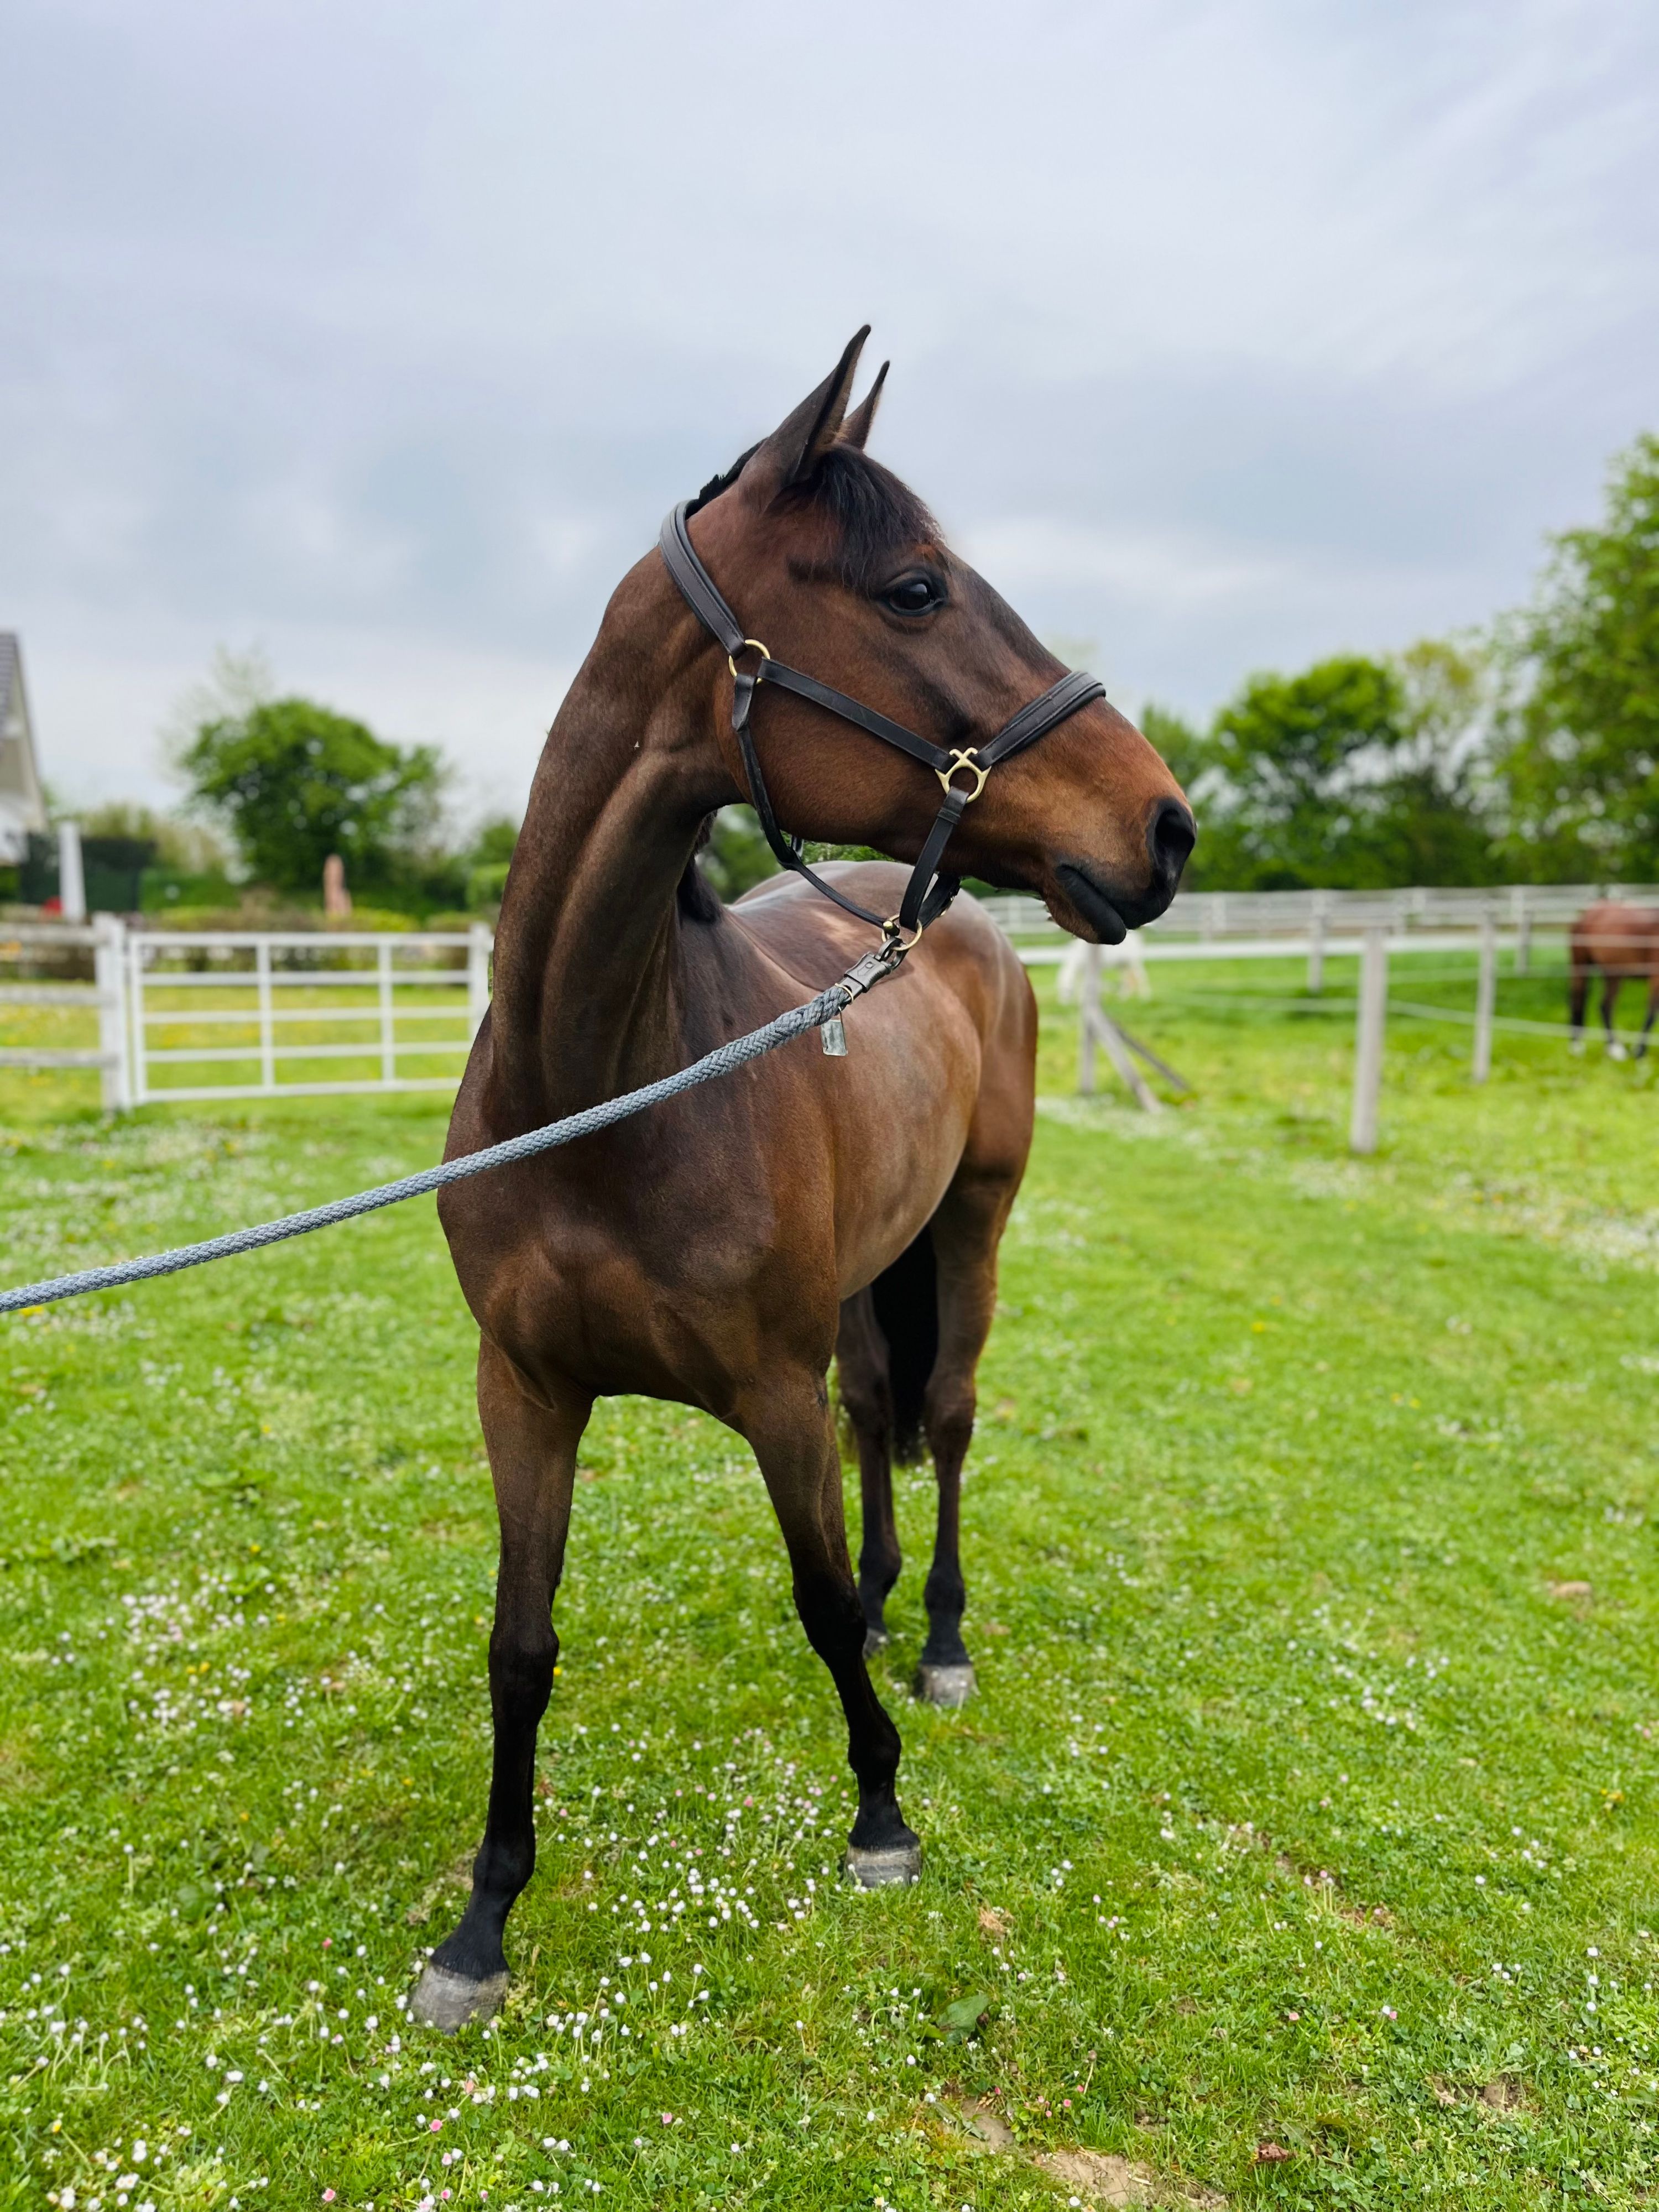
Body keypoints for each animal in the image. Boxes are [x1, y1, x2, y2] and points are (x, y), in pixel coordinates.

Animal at [411, 330, 1195, 2031]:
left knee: (944, 1420)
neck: (598, 1092)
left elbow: (816, 1599)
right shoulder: (525, 1391)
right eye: (912, 588)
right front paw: (483, 1921)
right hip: (862, 1279)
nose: (1165, 825)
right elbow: (519, 1642)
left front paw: (882, 1811)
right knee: (882, 1413)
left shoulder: (766, 1392)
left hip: (971, 1227)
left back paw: (940, 1636)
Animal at [1569, 902, 1659, 1059]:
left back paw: (1613, 1048)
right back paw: (1578, 1047)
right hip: (1581, 967)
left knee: (1605, 1006)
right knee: (1578, 1000)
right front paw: (1640, 1052)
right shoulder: (1656, 977)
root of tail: (1586, 915)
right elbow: (1651, 1015)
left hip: (1613, 975)